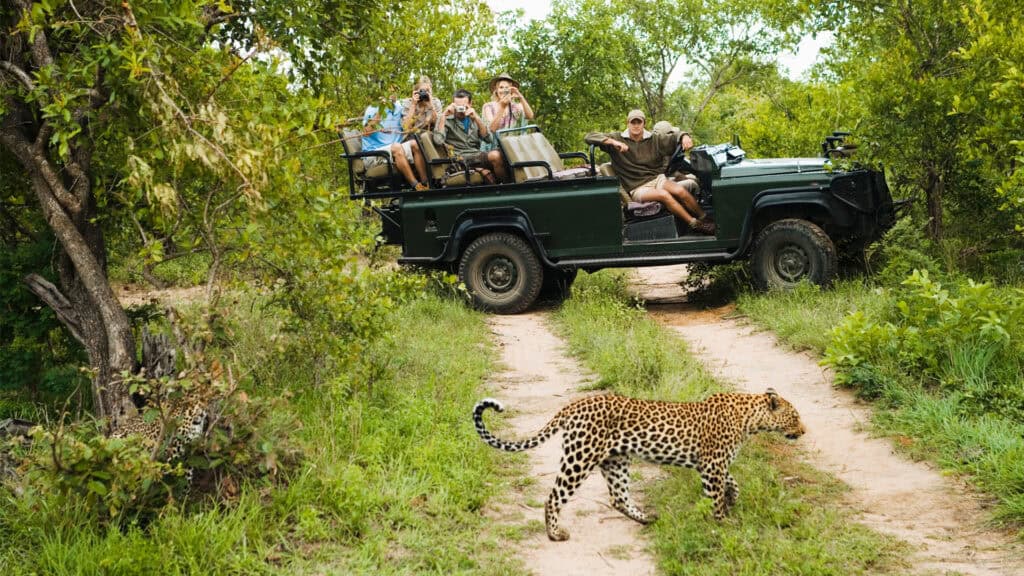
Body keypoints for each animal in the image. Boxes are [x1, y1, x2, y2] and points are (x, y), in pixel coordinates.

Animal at [473, 388, 805, 541]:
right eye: (795, 416)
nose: (803, 431)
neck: (750, 419)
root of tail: (573, 405)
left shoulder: (711, 465)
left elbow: (732, 481)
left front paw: (732, 498)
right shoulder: (712, 465)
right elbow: (717, 496)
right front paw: (723, 523)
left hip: (615, 460)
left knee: (618, 497)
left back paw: (647, 518)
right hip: (580, 457)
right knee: (554, 497)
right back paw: (555, 534)